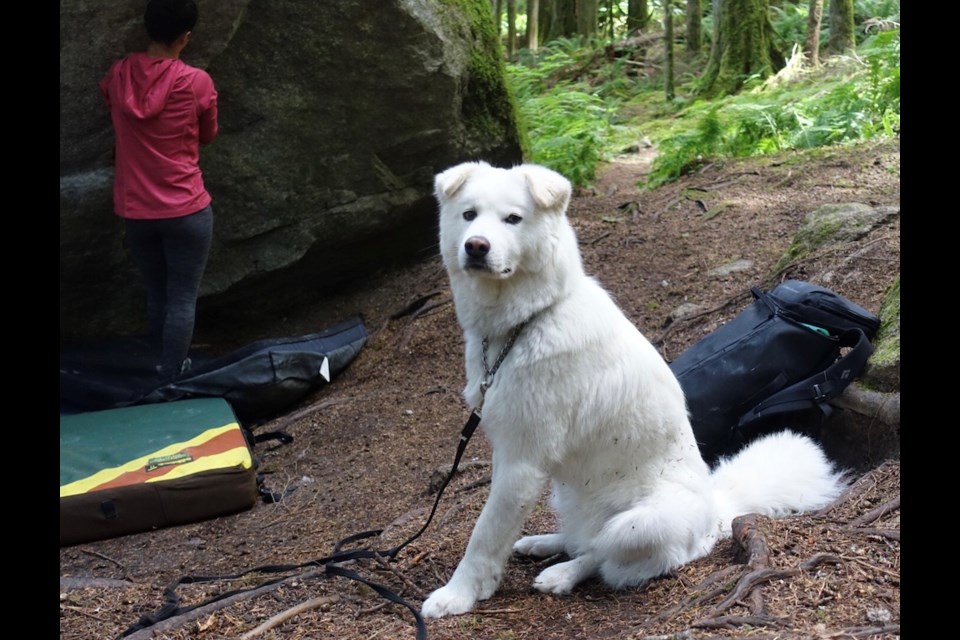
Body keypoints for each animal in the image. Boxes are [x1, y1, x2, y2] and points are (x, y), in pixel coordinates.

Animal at [424, 161, 844, 620]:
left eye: (513, 219)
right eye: (469, 215)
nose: (476, 247)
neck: (530, 319)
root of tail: (718, 512)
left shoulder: (522, 461)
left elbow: (484, 534)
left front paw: (457, 595)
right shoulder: (510, 453)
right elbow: (498, 526)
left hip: (639, 523)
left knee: (603, 554)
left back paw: (562, 573)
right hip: (567, 491)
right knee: (582, 537)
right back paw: (543, 543)